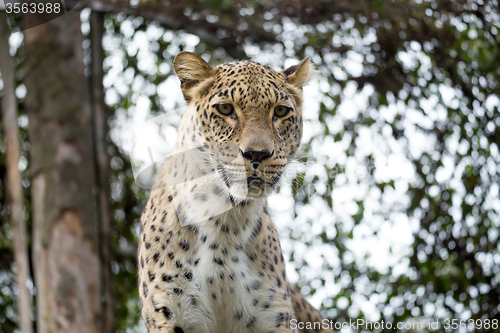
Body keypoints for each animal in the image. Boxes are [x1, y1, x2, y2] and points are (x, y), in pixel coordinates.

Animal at [139, 52, 334, 332]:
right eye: (225, 109)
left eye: (280, 111)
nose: (257, 154)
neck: (226, 223)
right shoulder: (171, 312)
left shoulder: (272, 316)